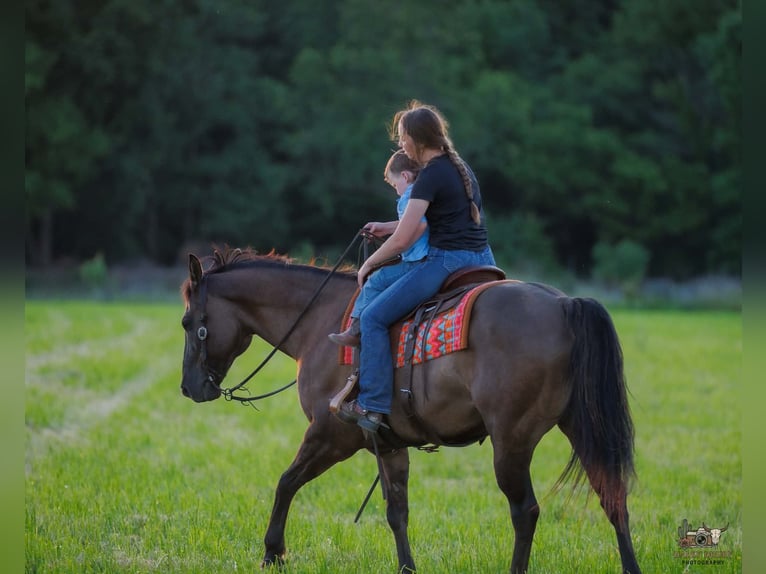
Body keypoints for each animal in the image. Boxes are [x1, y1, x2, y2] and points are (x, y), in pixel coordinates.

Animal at [179, 247, 641, 574]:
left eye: (187, 323)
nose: (188, 387)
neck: (320, 324)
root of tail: (565, 304)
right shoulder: (387, 443)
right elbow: (396, 511)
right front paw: (406, 567)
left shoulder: (330, 435)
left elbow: (286, 482)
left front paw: (273, 553)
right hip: (582, 426)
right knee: (612, 497)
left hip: (511, 442)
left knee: (525, 511)